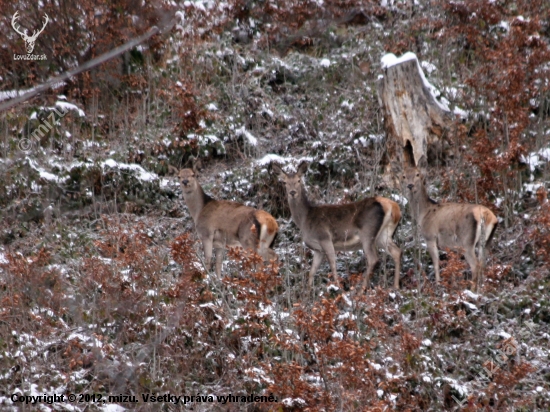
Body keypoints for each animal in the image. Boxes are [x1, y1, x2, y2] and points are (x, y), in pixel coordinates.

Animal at [274, 161, 404, 290]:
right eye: (284, 182)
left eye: (298, 180)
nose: (292, 192)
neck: (304, 220)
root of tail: (393, 206)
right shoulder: (318, 249)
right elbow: (312, 271)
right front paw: (308, 291)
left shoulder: (324, 237)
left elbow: (332, 264)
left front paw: (337, 288)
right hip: (383, 235)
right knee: (396, 251)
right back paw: (396, 286)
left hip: (368, 232)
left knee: (373, 259)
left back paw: (361, 290)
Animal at [404, 143, 498, 292]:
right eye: (403, 176)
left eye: (417, 174)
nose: (410, 185)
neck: (423, 213)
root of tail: (487, 216)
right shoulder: (448, 245)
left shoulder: (430, 236)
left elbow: (436, 262)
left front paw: (438, 284)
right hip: (487, 241)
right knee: (483, 264)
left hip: (467, 240)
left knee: (475, 265)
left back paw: (472, 291)